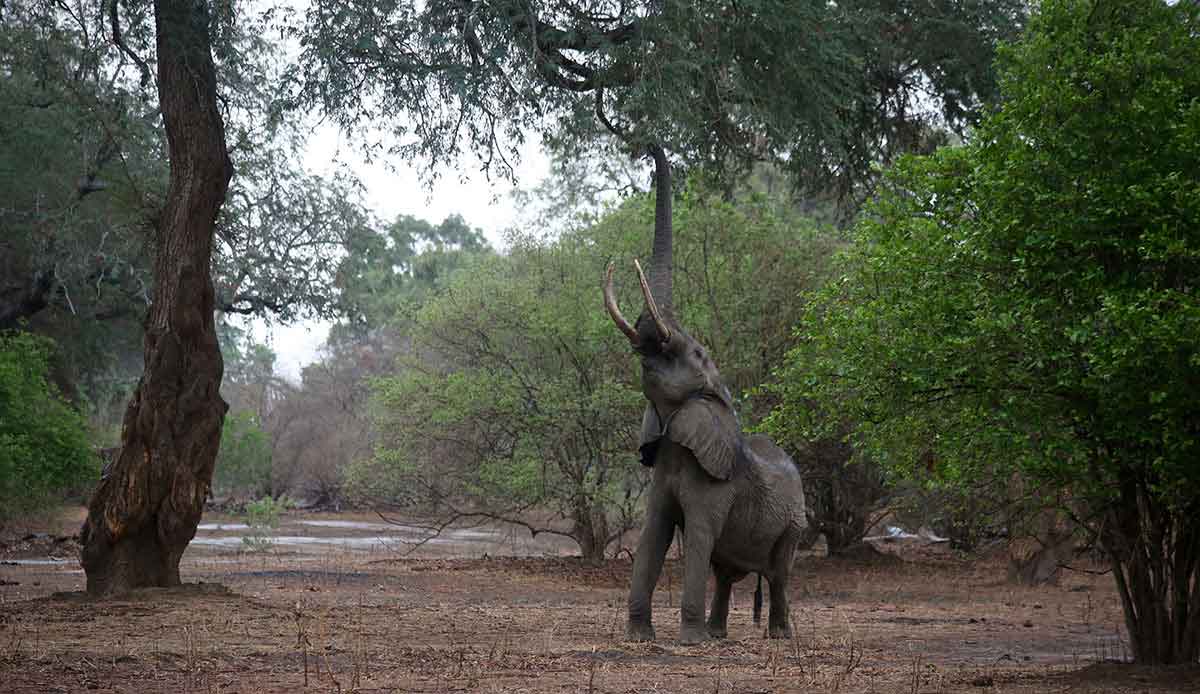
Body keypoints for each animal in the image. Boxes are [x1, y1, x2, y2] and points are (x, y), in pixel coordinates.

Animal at [604, 255, 811, 643]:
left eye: (698, 352)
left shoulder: (715, 485)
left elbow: (700, 535)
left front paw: (688, 642)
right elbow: (654, 534)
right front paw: (639, 637)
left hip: (794, 520)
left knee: (778, 573)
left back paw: (778, 636)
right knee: (725, 573)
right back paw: (716, 634)